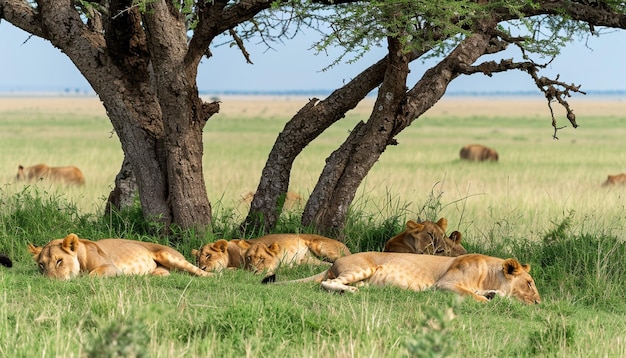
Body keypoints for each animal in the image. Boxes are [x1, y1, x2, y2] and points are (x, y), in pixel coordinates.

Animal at [28, 232, 210, 280]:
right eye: (41, 265)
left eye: (59, 261)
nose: (50, 281)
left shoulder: (112, 268)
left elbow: (93, 274)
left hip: (168, 255)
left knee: (200, 271)